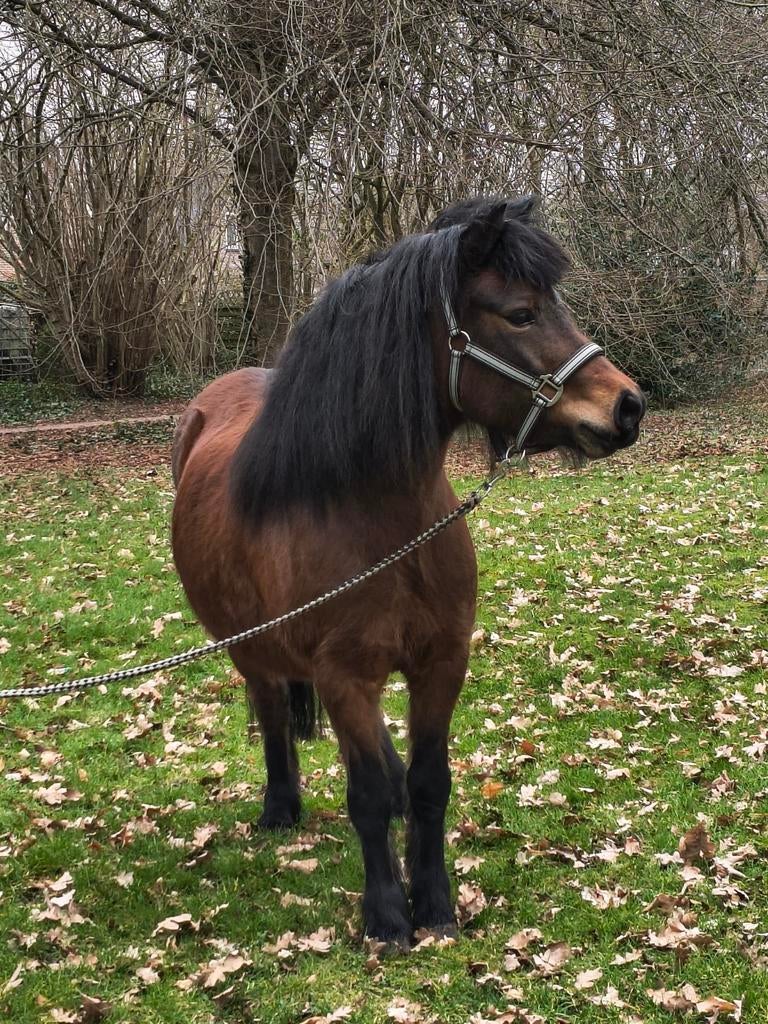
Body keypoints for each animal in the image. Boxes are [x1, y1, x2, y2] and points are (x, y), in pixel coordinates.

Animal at [171, 196, 645, 948]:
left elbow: (427, 783)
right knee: (272, 711)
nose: (628, 406)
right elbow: (366, 794)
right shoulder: (343, 676)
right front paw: (389, 916)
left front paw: (438, 905)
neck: (384, 526)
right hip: (247, 646)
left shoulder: (441, 663)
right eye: (520, 313)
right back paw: (280, 807)